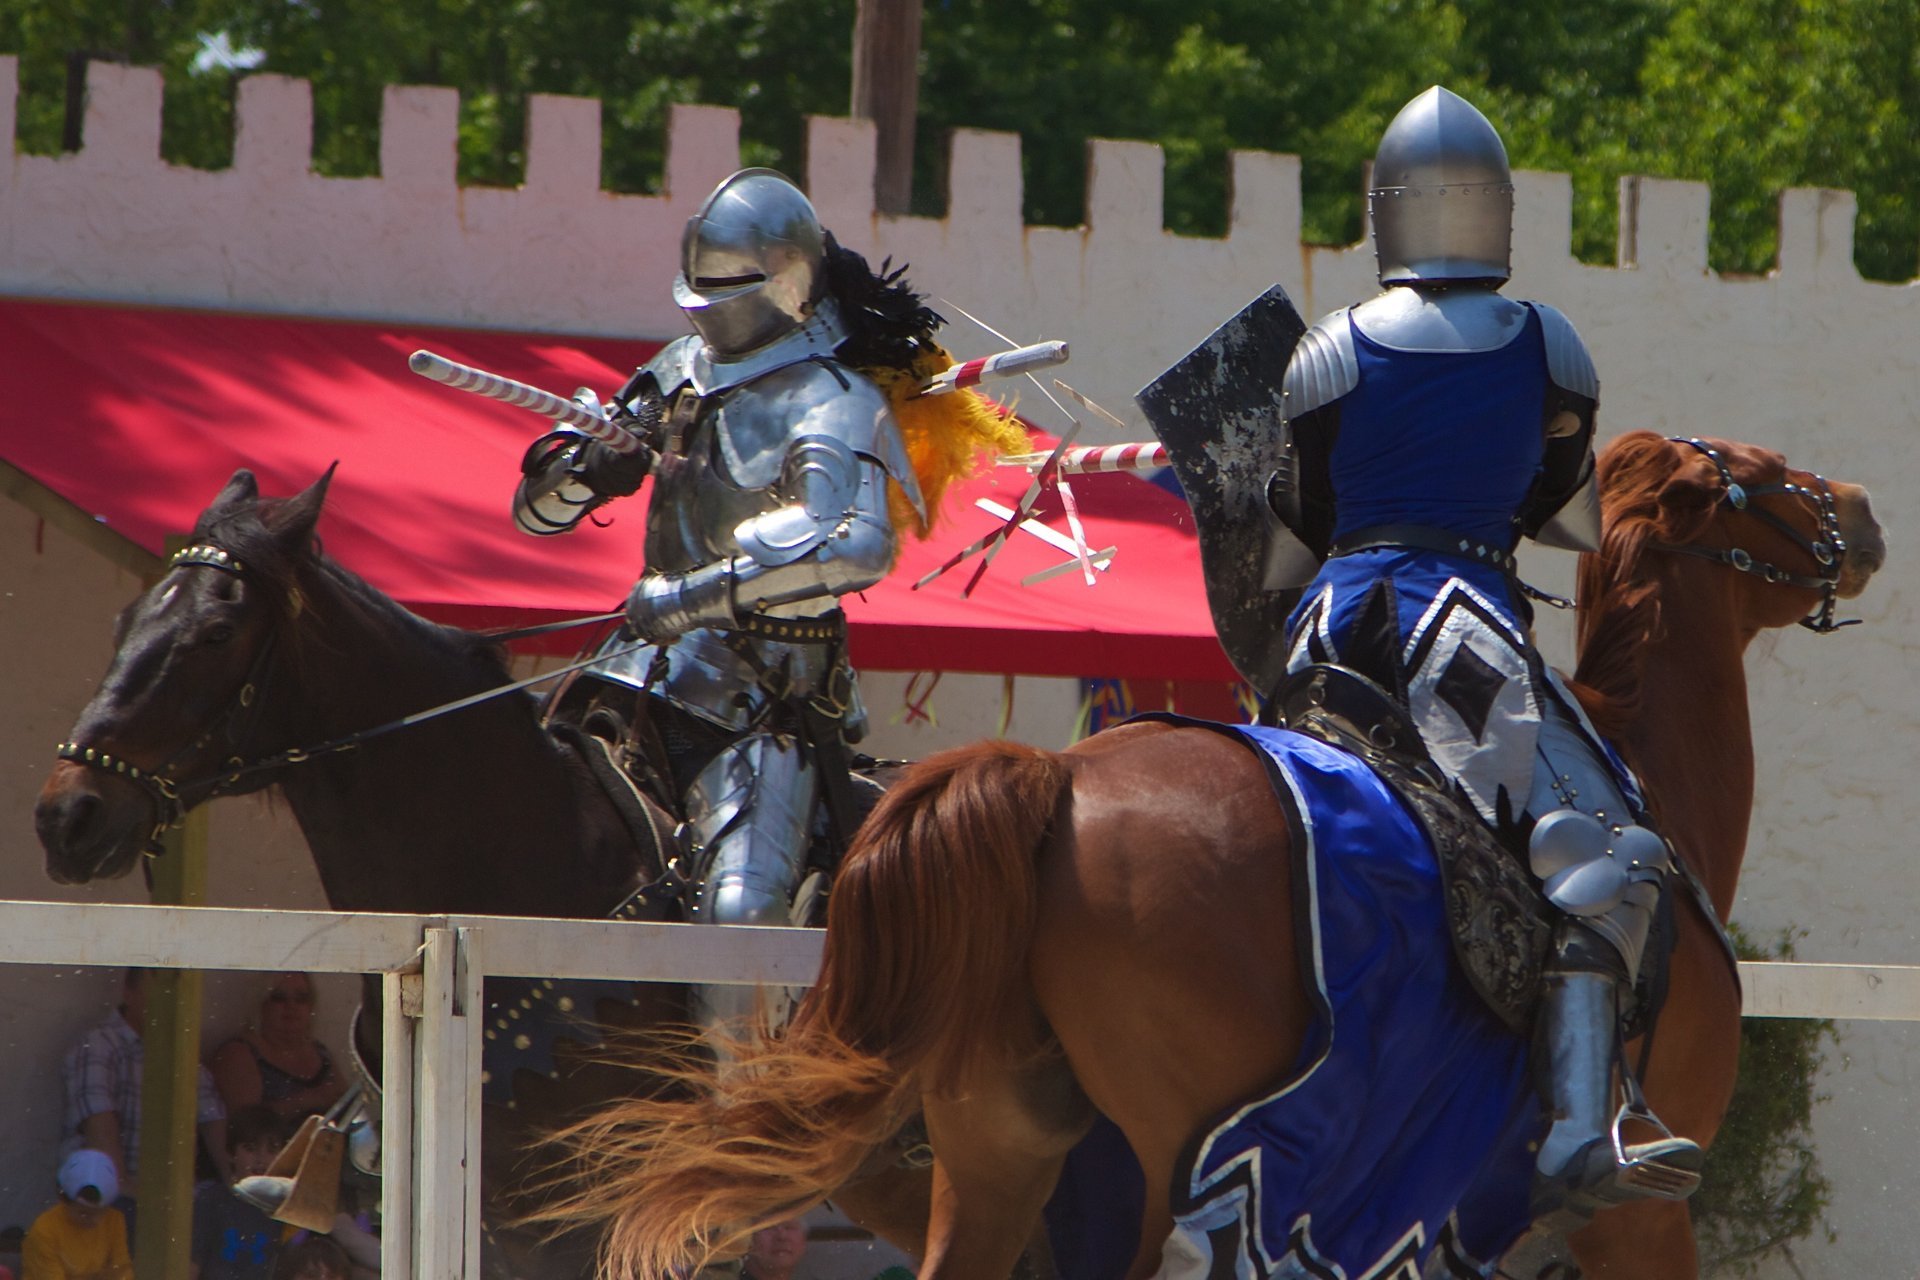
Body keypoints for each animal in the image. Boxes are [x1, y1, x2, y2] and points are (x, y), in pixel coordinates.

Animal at [556, 433, 1889, 1280]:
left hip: (1003, 1148)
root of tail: (1053, 779)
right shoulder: (1639, 1225)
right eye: (1761, 479)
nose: (1865, 508)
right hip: (1179, 1173)